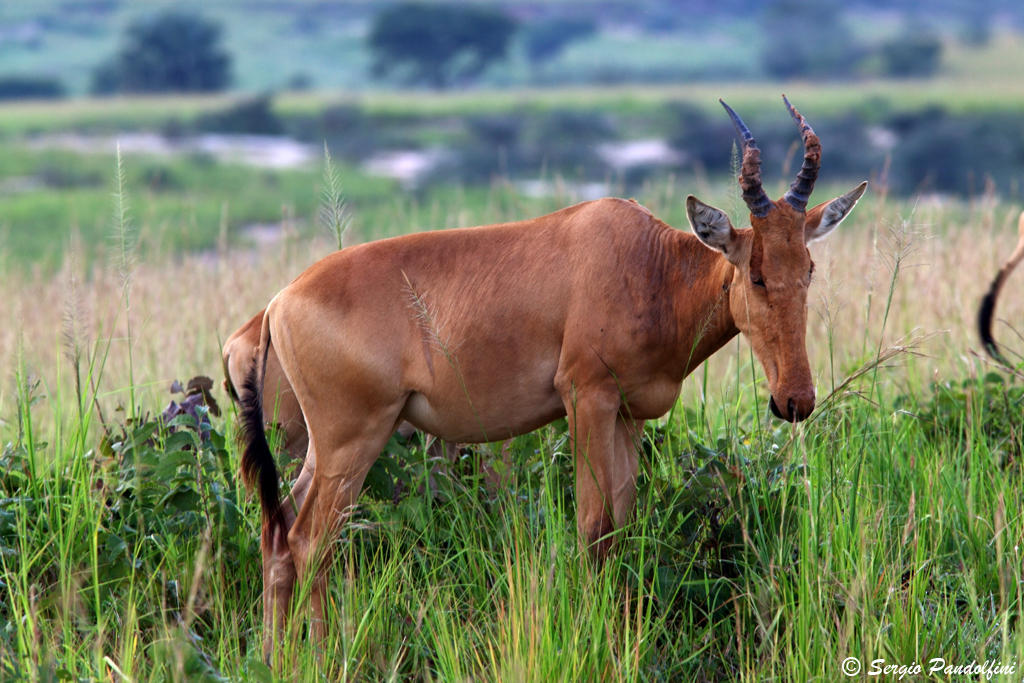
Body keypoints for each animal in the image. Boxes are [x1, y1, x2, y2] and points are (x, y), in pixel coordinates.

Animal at [239, 97, 864, 655]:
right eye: (754, 273)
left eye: (808, 267)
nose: (794, 400)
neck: (650, 262)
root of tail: (278, 303)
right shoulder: (585, 398)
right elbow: (592, 527)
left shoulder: (628, 415)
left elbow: (621, 525)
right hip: (354, 438)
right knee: (311, 540)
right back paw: (322, 655)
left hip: (323, 446)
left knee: (279, 533)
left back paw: (275, 656)